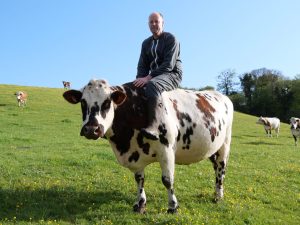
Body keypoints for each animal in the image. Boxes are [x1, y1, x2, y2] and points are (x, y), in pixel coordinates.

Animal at [62, 79, 233, 213]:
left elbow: (167, 180)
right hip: (212, 149)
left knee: (221, 169)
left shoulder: (166, 150)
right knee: (215, 167)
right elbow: (139, 179)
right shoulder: (135, 155)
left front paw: (173, 206)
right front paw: (140, 204)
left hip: (225, 145)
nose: (91, 129)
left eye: (107, 102)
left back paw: (218, 196)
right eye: (83, 102)